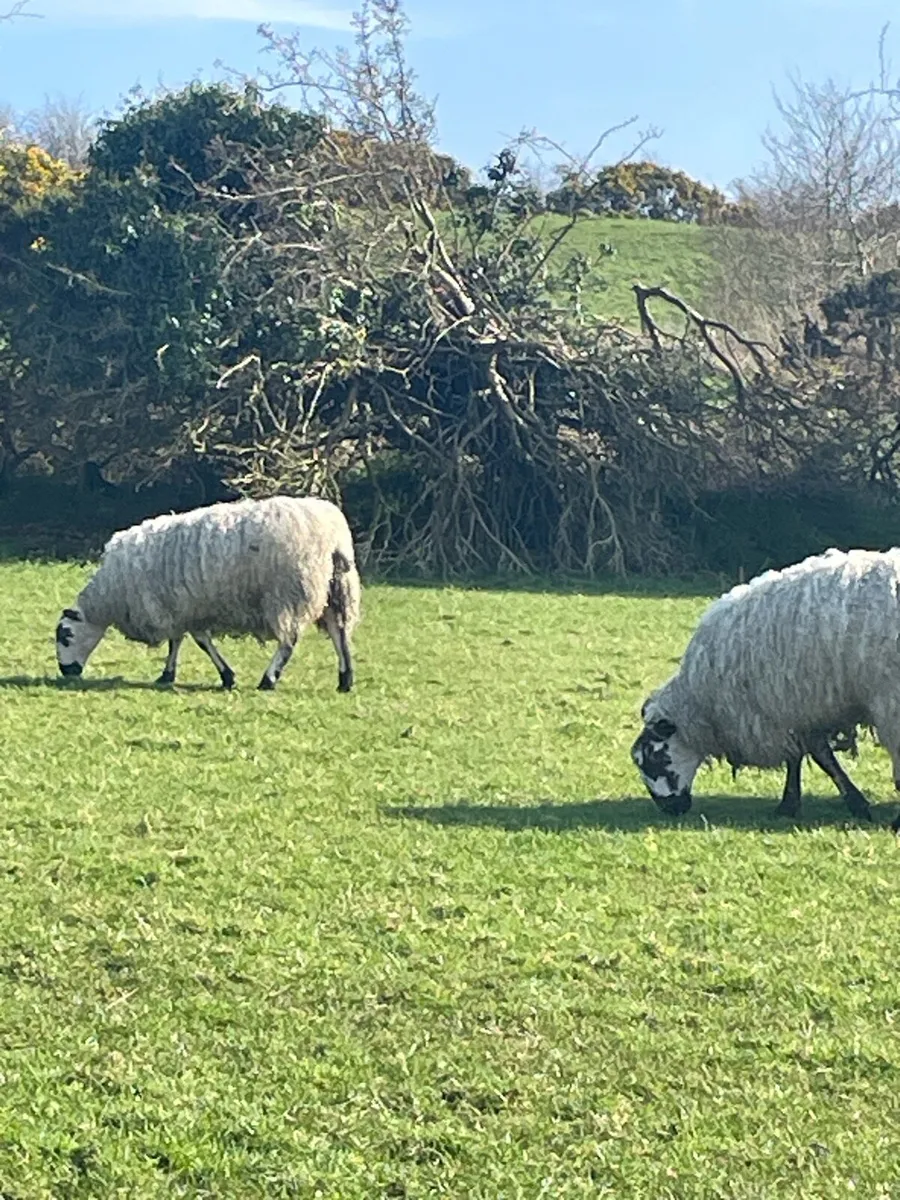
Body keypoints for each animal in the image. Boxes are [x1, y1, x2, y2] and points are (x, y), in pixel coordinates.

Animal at [54, 495, 360, 693]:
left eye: (65, 636)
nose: (66, 672)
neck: (111, 593)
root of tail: (333, 536)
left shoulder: (176, 607)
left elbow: (197, 641)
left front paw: (225, 676)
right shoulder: (181, 607)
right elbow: (178, 641)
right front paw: (168, 674)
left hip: (289, 592)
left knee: (289, 641)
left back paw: (268, 679)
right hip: (335, 589)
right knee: (339, 632)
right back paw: (345, 680)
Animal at [630, 547, 900, 824]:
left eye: (652, 757)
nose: (670, 808)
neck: (703, 702)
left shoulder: (780, 705)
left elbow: (816, 756)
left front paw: (849, 803)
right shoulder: (799, 708)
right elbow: (803, 754)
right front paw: (792, 803)